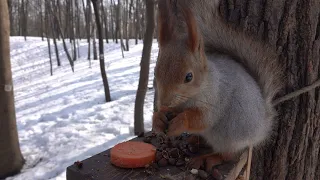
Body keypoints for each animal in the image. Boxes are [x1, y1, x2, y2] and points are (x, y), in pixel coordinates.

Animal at [151, 0, 284, 167]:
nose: (165, 102)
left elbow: (202, 118)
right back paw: (194, 139)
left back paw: (207, 157)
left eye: (189, 77)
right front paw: (158, 118)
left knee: (228, 155)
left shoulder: (216, 98)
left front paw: (180, 122)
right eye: (155, 71)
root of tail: (262, 126)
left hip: (230, 136)